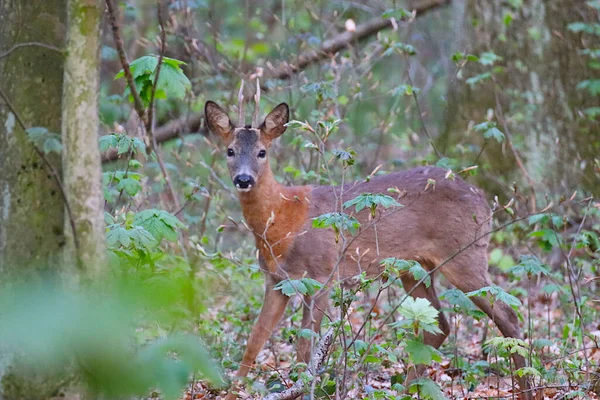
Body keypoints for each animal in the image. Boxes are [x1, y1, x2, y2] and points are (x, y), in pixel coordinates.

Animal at [205, 82, 528, 400]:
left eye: (262, 152)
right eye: (230, 150)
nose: (244, 179)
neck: (286, 221)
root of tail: (484, 201)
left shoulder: (323, 273)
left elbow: (306, 346)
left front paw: (301, 389)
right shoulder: (276, 280)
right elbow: (255, 339)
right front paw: (232, 392)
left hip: (465, 254)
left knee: (508, 315)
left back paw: (525, 388)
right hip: (414, 267)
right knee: (440, 324)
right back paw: (407, 390)